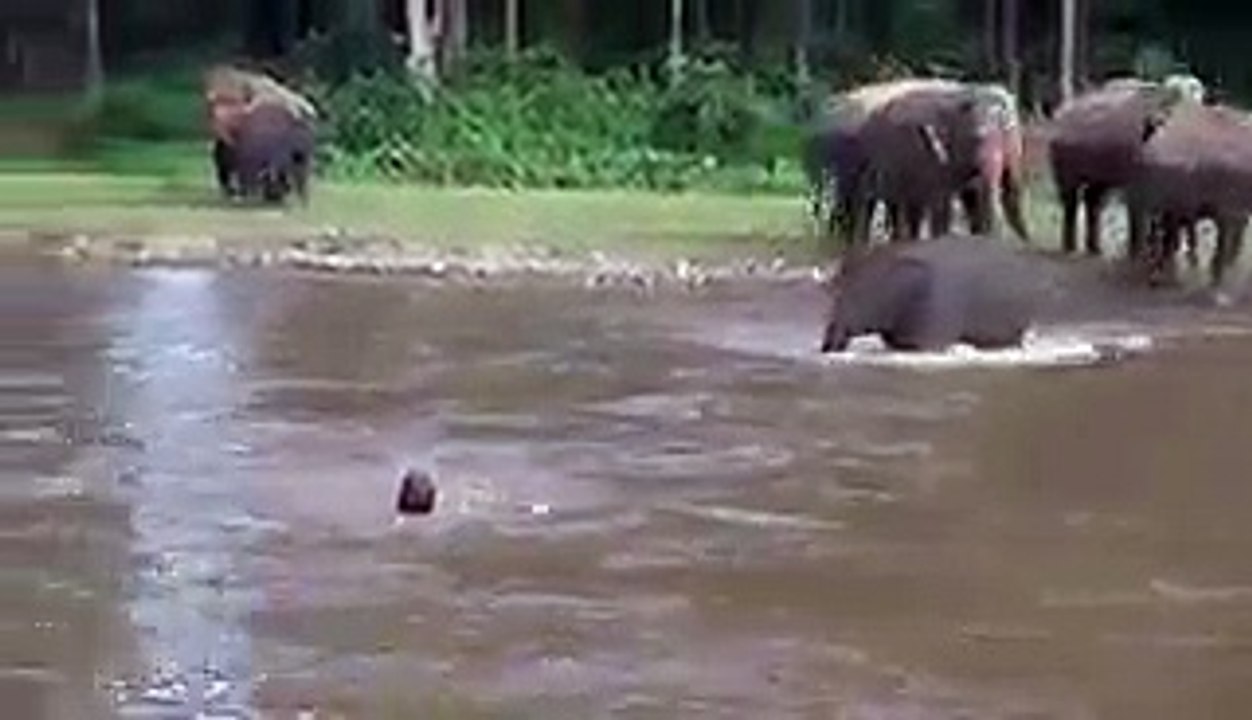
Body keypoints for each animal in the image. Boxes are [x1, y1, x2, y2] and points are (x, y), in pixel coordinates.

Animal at [1046, 75, 1205, 258]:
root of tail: (1060, 113)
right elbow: (1139, 208)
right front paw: (1138, 253)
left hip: (1099, 169)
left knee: (1092, 198)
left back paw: (1095, 248)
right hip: (1063, 161)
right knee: (1070, 200)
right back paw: (1070, 247)